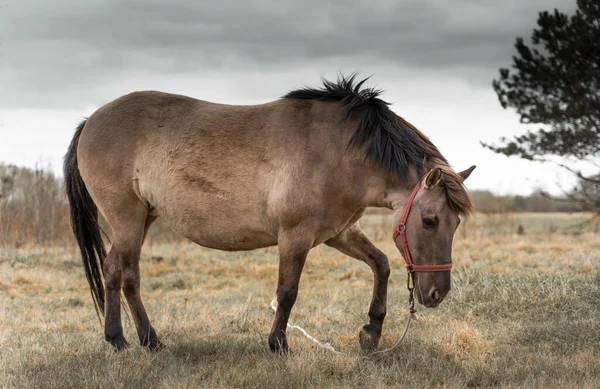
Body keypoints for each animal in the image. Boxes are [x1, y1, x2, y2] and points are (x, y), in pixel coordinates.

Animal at [63, 73, 476, 352]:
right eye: (429, 220)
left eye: (456, 224)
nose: (437, 293)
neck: (339, 152)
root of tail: (91, 121)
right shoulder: (295, 236)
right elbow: (288, 291)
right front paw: (278, 344)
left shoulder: (337, 233)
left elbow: (381, 264)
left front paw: (371, 332)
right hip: (128, 219)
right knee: (128, 276)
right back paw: (145, 340)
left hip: (142, 217)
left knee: (113, 270)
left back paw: (121, 339)